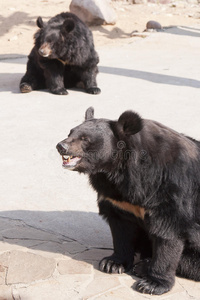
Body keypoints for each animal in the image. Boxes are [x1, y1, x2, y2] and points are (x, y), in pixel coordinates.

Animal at [55, 106, 200, 294]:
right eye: (70, 132)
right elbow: (121, 227)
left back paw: (143, 267)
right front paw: (112, 263)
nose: (61, 146)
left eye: (85, 139)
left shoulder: (169, 188)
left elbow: (169, 231)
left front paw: (152, 284)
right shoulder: (118, 199)